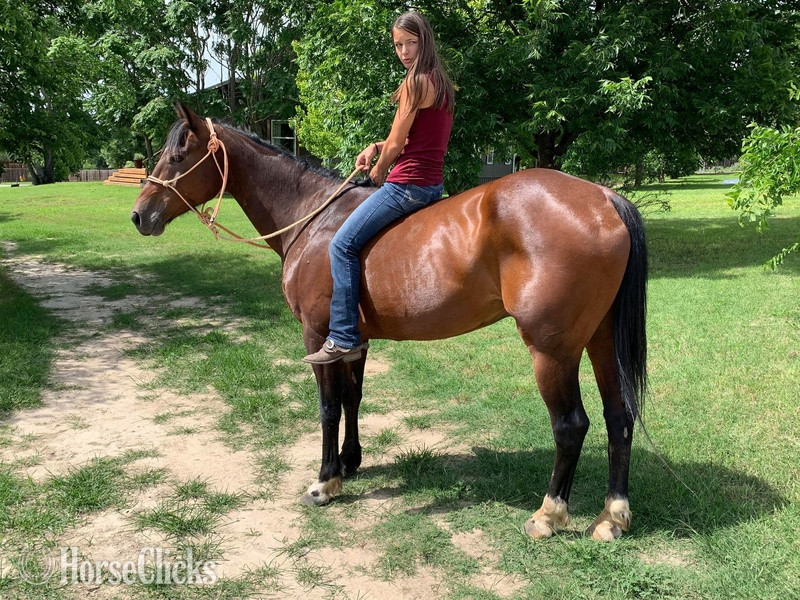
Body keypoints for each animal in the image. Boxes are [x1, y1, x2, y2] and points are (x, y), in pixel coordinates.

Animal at [131, 103, 647, 542]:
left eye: (179, 154)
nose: (140, 215)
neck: (314, 220)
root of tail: (604, 198)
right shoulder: (353, 339)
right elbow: (353, 398)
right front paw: (349, 462)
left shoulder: (317, 335)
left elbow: (328, 407)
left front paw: (325, 482)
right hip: (600, 340)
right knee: (618, 417)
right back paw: (612, 516)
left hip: (551, 350)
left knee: (571, 425)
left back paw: (548, 514)